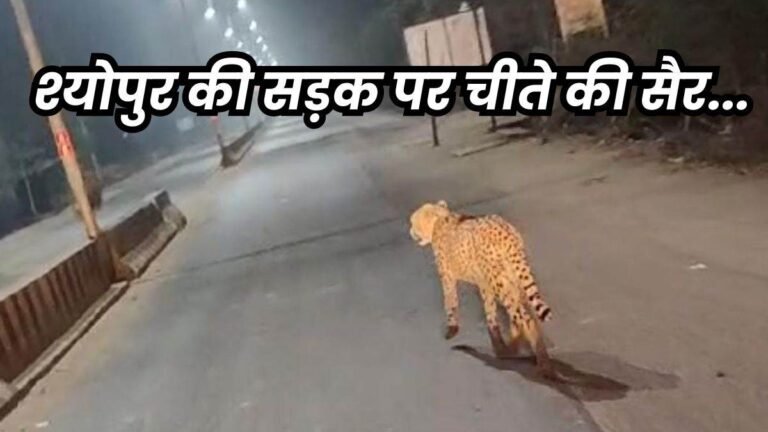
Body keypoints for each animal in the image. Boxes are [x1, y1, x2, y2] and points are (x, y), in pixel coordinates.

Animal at [409, 200, 554, 377]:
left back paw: (544, 366)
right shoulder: (484, 283)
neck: (439, 220)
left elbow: (450, 302)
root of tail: (506, 230)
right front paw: (498, 343)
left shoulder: (449, 279)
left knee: (523, 317)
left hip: (500, 281)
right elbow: (490, 310)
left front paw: (452, 328)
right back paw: (518, 347)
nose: (410, 231)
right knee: (521, 312)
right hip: (512, 277)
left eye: (413, 222)